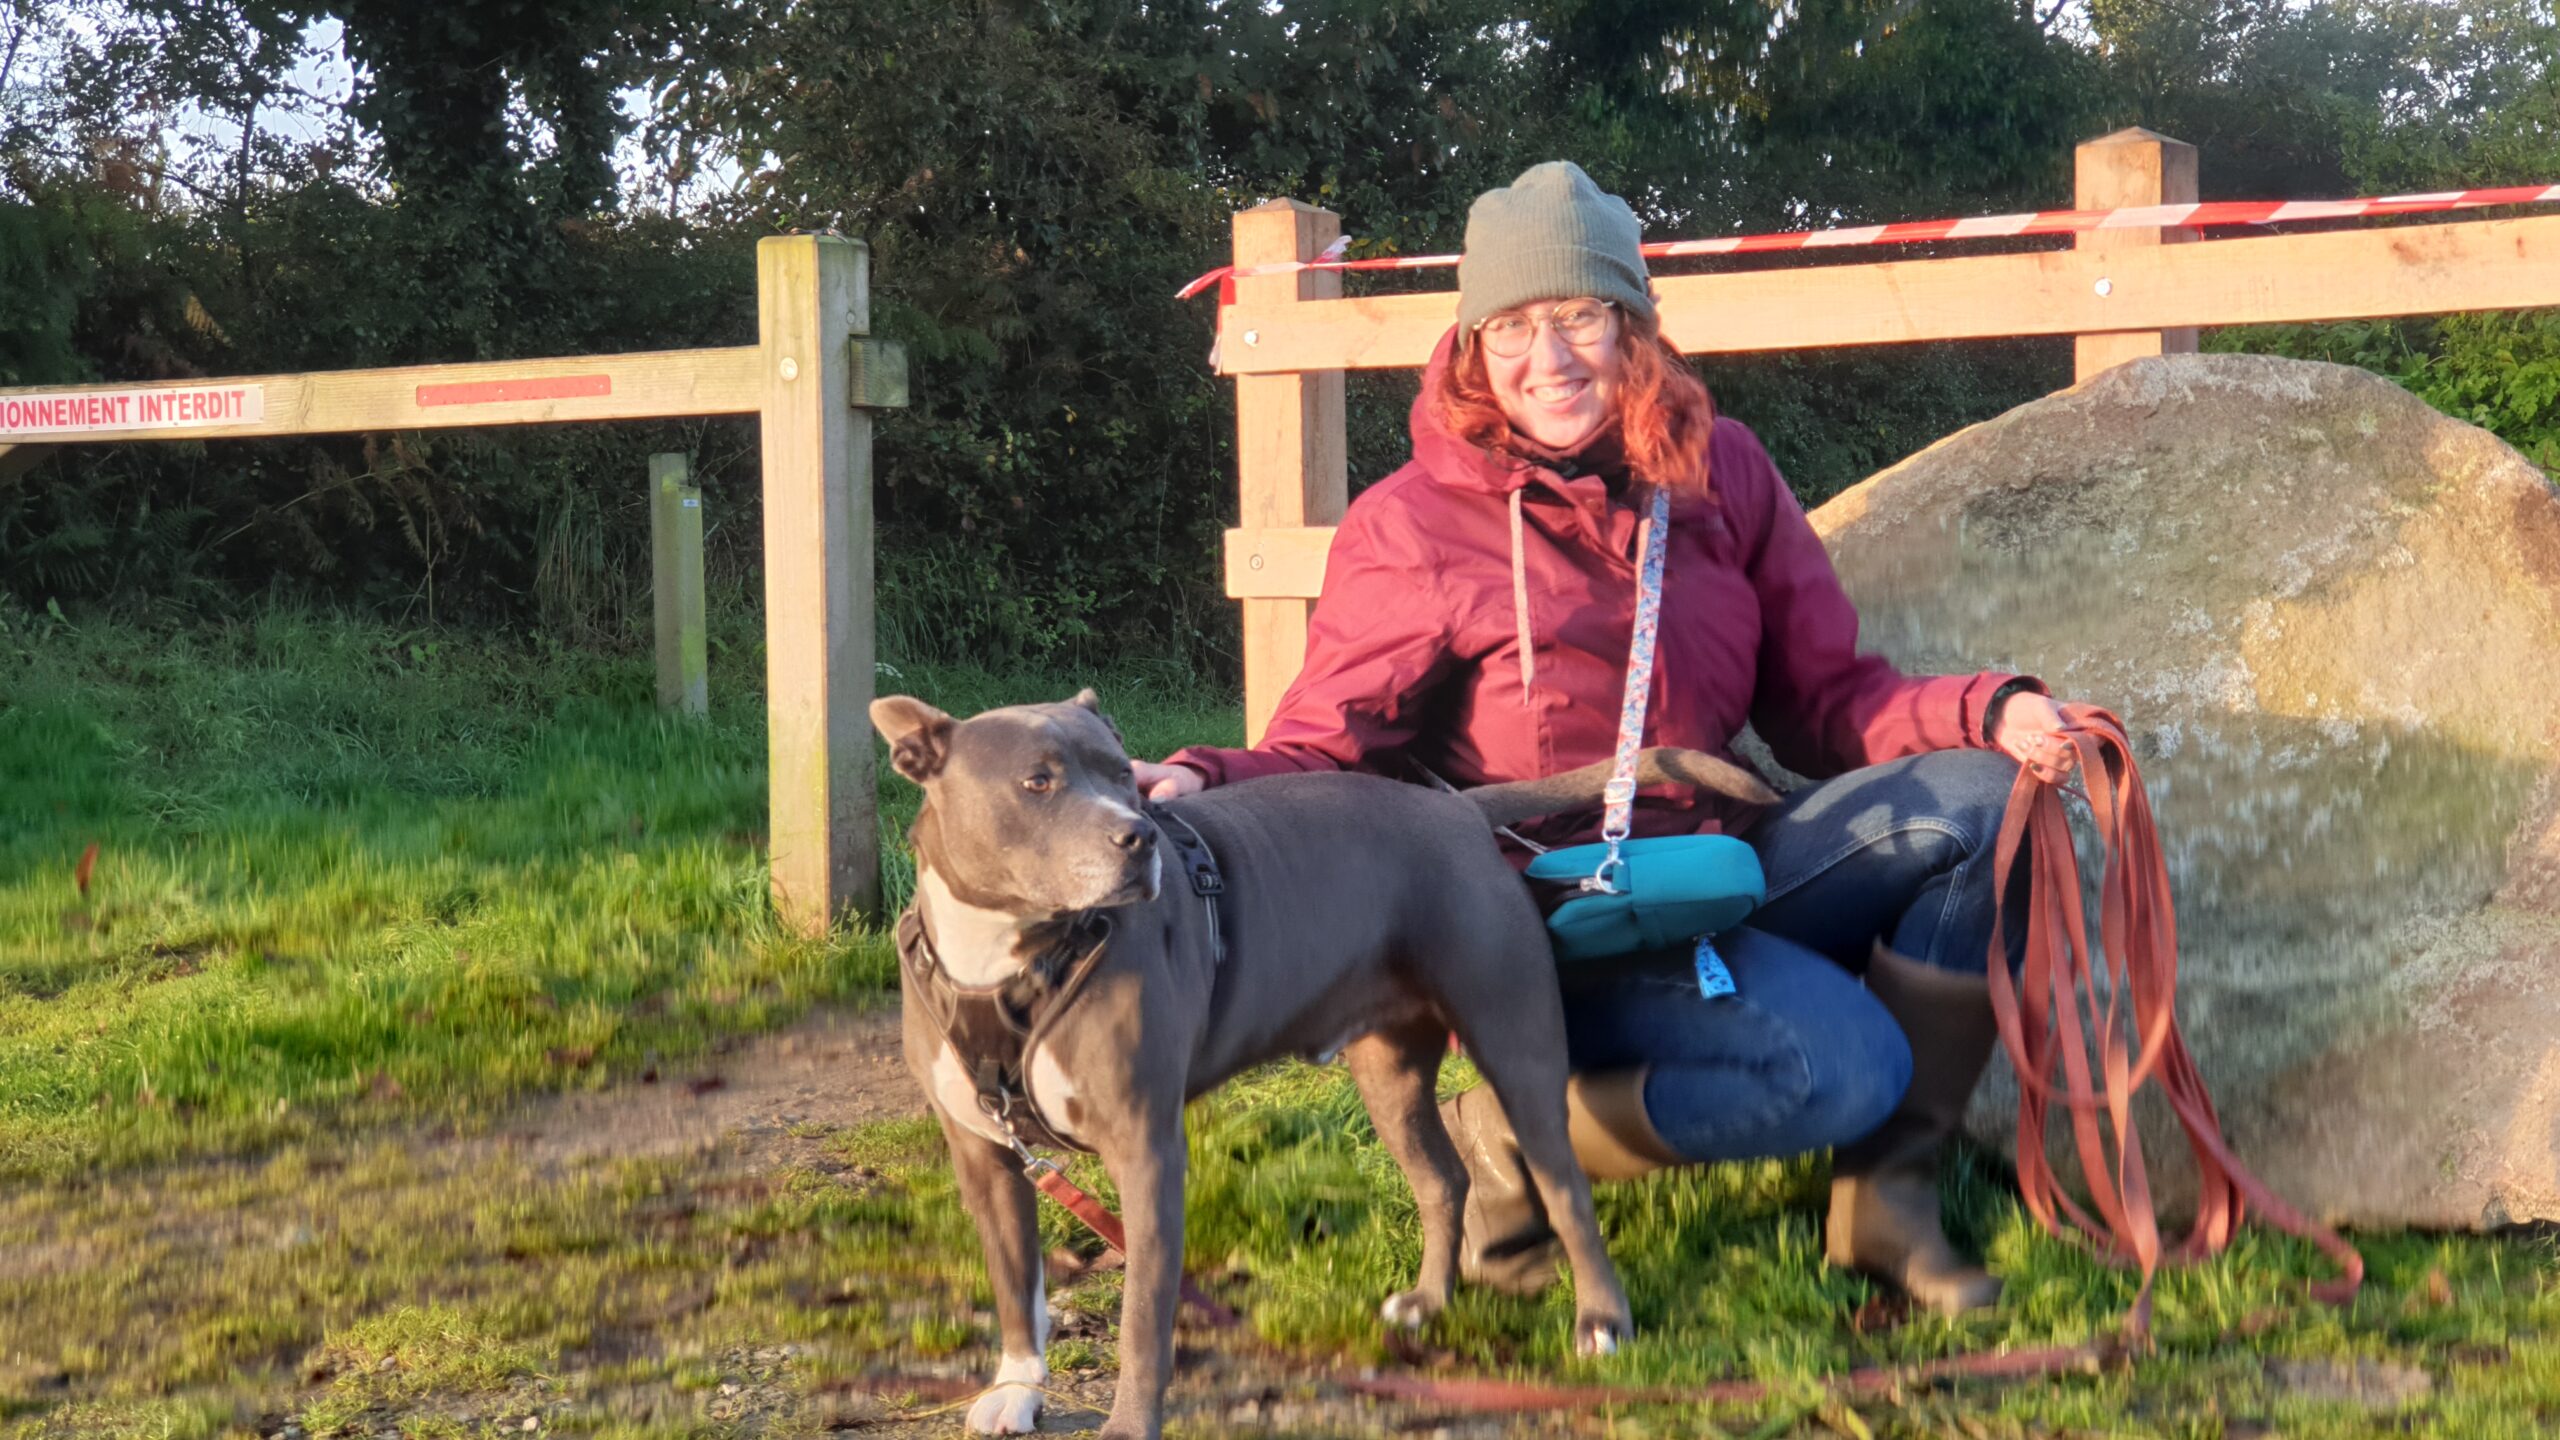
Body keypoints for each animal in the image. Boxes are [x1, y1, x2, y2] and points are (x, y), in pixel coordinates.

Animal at [870, 691, 1771, 1424]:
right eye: (1037, 782)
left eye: (1124, 776)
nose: (1139, 838)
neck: (1005, 959)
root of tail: (1455, 813)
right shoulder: (983, 1155)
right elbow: (1016, 1284)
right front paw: (1017, 1389)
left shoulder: (1146, 1150)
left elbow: (1141, 1321)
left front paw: (1127, 1422)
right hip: (1388, 1072)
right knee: (1443, 1179)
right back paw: (1429, 1303)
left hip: (1516, 1044)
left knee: (1565, 1185)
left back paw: (1601, 1322)